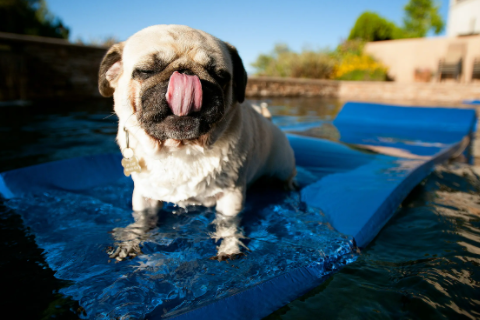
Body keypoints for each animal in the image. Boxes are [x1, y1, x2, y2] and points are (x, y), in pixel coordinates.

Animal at [99, 25, 294, 260]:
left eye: (220, 75)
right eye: (146, 71)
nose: (185, 74)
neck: (180, 149)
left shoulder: (232, 196)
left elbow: (228, 225)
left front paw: (230, 247)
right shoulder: (144, 196)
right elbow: (141, 220)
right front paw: (130, 240)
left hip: (283, 165)